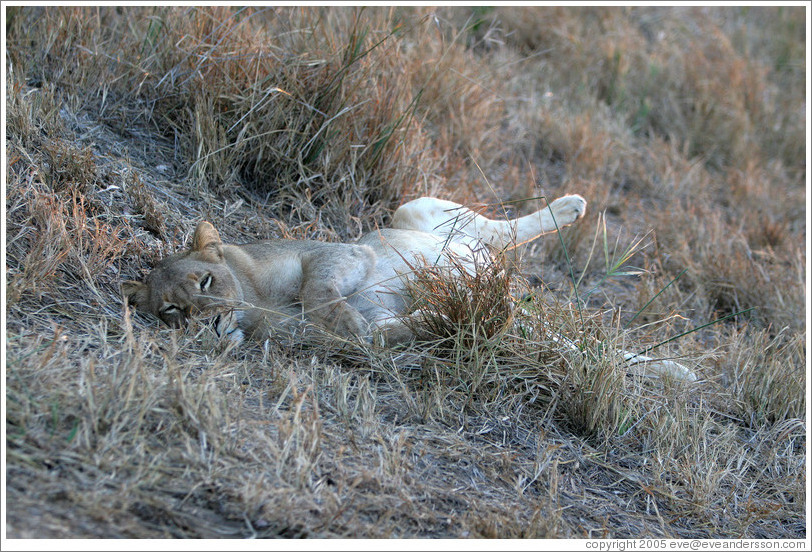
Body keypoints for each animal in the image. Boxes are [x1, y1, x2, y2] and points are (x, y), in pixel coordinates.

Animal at [122, 194, 696, 381]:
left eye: (206, 280)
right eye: (171, 311)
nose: (212, 323)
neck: (255, 308)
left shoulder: (337, 252)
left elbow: (318, 291)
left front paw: (346, 316)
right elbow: (381, 335)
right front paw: (438, 323)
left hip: (412, 211)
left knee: (505, 230)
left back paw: (569, 208)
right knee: (578, 349)